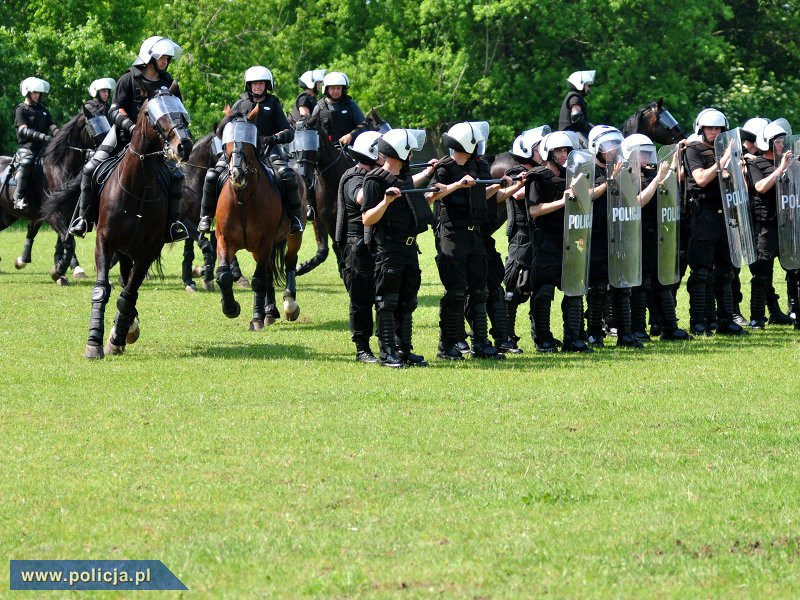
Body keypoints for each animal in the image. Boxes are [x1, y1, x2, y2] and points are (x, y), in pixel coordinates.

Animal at [214, 105, 304, 330]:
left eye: (248, 140)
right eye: (227, 140)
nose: (237, 174)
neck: (243, 200)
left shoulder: (265, 242)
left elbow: (258, 281)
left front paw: (256, 319)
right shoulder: (224, 240)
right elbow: (224, 275)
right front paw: (231, 308)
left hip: (292, 236)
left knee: (289, 262)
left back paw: (289, 305)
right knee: (269, 272)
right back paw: (270, 311)